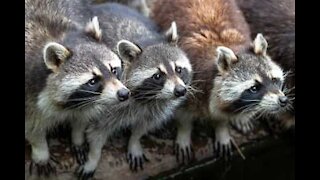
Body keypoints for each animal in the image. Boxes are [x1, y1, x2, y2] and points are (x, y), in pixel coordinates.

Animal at [25, 0, 129, 177]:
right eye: (92, 81)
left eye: (113, 70)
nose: (124, 93)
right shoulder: (28, 90)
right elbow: (32, 126)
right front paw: (41, 151)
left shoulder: (87, 100)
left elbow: (82, 117)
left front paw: (77, 137)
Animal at [76, 3, 192, 179]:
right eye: (157, 76)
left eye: (178, 69)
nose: (180, 91)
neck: (149, 98)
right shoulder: (106, 105)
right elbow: (97, 132)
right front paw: (93, 157)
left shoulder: (155, 109)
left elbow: (143, 126)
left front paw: (134, 141)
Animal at [151, 0, 288, 163]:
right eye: (254, 88)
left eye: (274, 79)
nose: (283, 100)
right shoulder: (185, 84)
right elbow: (182, 113)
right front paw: (184, 133)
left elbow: (221, 115)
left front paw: (222, 128)